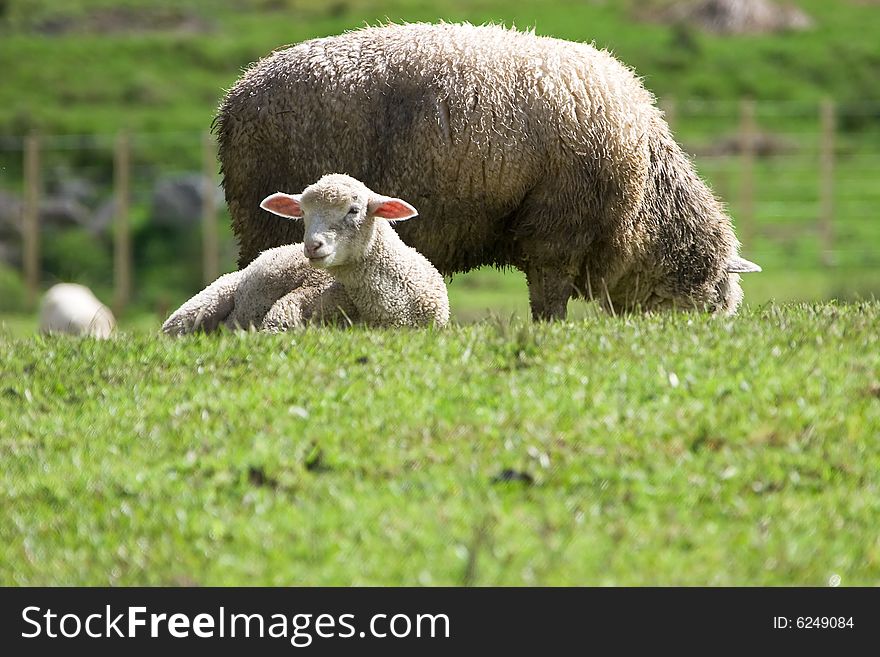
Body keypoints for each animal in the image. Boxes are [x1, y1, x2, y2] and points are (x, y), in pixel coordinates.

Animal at [217, 20, 760, 318]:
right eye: (714, 300)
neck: (647, 195)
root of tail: (236, 97)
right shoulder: (557, 232)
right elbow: (549, 304)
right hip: (268, 219)